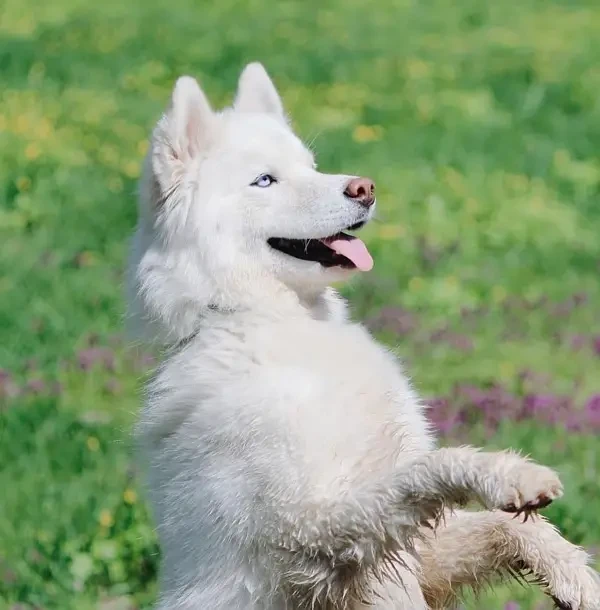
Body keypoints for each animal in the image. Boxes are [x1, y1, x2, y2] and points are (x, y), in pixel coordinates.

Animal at [127, 63, 600, 608]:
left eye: (311, 167)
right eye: (265, 180)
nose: (365, 187)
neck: (284, 322)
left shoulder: (418, 555)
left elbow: (513, 529)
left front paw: (574, 577)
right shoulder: (307, 536)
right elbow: (428, 470)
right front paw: (508, 475)